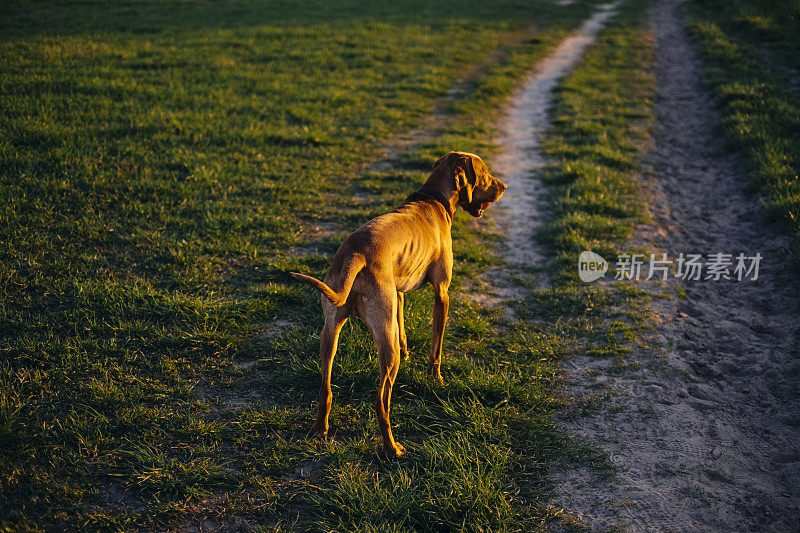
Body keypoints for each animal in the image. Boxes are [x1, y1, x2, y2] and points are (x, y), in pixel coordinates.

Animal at [292, 151, 506, 458]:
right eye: (486, 172)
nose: (505, 186)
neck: (433, 198)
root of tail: (356, 253)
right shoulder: (442, 293)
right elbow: (437, 346)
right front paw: (435, 378)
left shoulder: (399, 293)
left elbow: (403, 326)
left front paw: (409, 354)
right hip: (384, 341)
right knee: (381, 401)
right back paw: (392, 449)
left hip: (330, 332)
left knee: (325, 388)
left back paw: (320, 428)